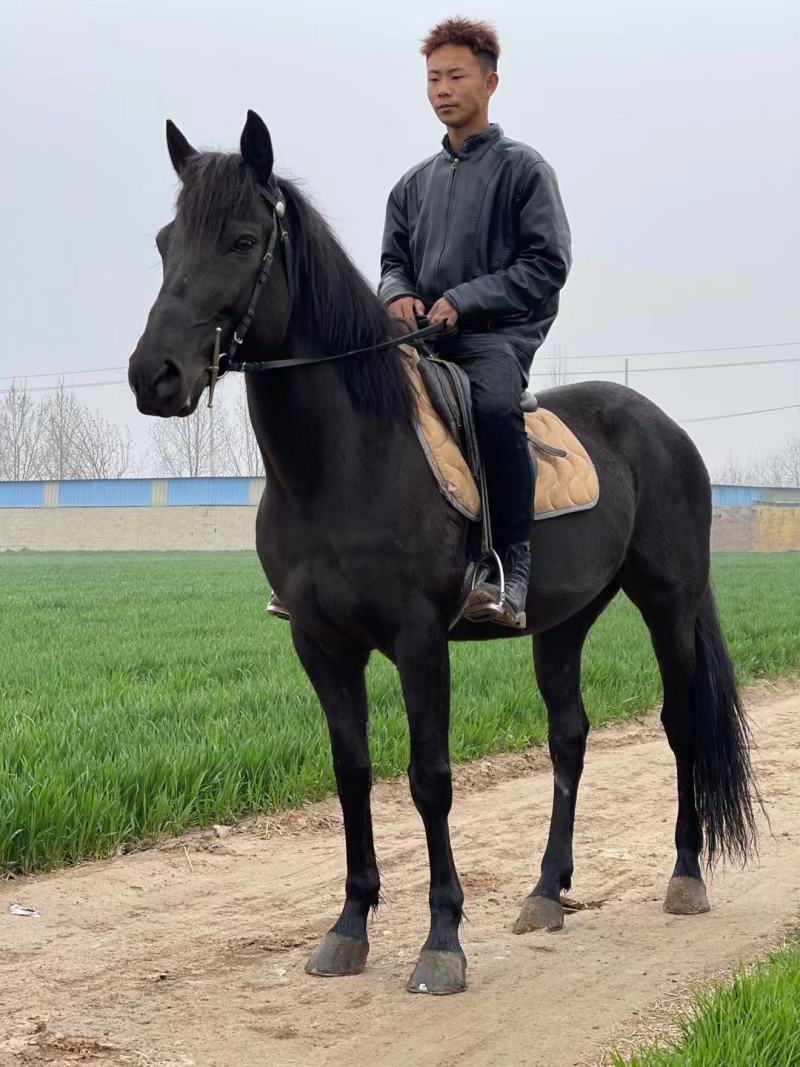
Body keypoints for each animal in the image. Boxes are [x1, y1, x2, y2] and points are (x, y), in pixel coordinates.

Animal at [128, 110, 757, 995]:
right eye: (165, 241)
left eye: (244, 240)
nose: (153, 376)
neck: (347, 458)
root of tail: (665, 429)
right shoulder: (320, 643)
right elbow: (353, 771)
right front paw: (348, 926)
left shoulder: (420, 639)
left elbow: (429, 778)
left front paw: (442, 941)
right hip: (564, 620)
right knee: (569, 734)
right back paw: (546, 891)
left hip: (668, 601)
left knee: (679, 722)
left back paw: (686, 876)